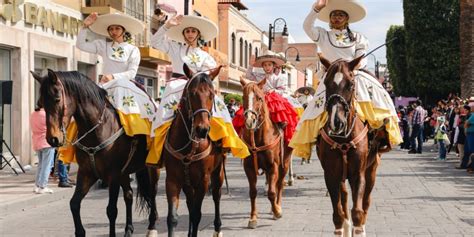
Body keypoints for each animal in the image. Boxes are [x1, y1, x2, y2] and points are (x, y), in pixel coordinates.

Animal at [32, 70, 161, 237]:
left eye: (57, 99)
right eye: (41, 103)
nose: (52, 139)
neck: (98, 128)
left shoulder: (113, 175)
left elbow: (111, 210)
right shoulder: (87, 173)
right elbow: (74, 204)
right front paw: (80, 231)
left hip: (151, 168)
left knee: (152, 193)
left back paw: (152, 227)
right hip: (125, 172)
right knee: (129, 195)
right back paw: (128, 229)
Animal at [163, 65, 228, 237]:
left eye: (212, 95)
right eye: (191, 93)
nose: (202, 129)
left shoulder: (203, 181)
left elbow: (197, 214)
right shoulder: (172, 180)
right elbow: (172, 217)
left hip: (217, 173)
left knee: (217, 196)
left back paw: (218, 228)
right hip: (188, 183)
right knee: (190, 203)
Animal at [241, 78, 292, 230]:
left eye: (259, 98)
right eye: (243, 97)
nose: (249, 121)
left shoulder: (273, 165)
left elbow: (272, 192)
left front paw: (277, 211)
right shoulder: (249, 168)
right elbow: (253, 192)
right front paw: (253, 217)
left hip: (284, 163)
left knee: (279, 184)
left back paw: (277, 206)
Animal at [314, 56, 386, 236]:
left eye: (351, 84)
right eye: (326, 83)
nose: (337, 121)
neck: (343, 140)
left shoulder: (357, 174)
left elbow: (358, 213)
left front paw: (359, 229)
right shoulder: (331, 175)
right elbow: (338, 214)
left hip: (371, 169)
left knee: (366, 202)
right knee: (345, 201)